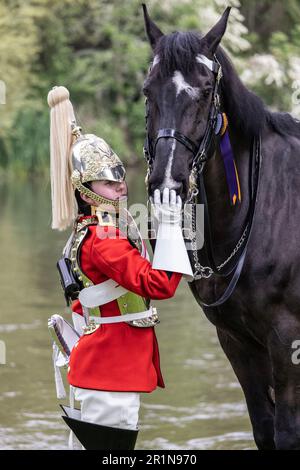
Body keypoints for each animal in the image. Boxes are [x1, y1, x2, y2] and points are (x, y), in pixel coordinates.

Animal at [142, 4, 300, 452]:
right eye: (147, 91)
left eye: (203, 92)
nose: (168, 183)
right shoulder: (237, 341)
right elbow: (264, 428)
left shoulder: (287, 340)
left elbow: (286, 433)